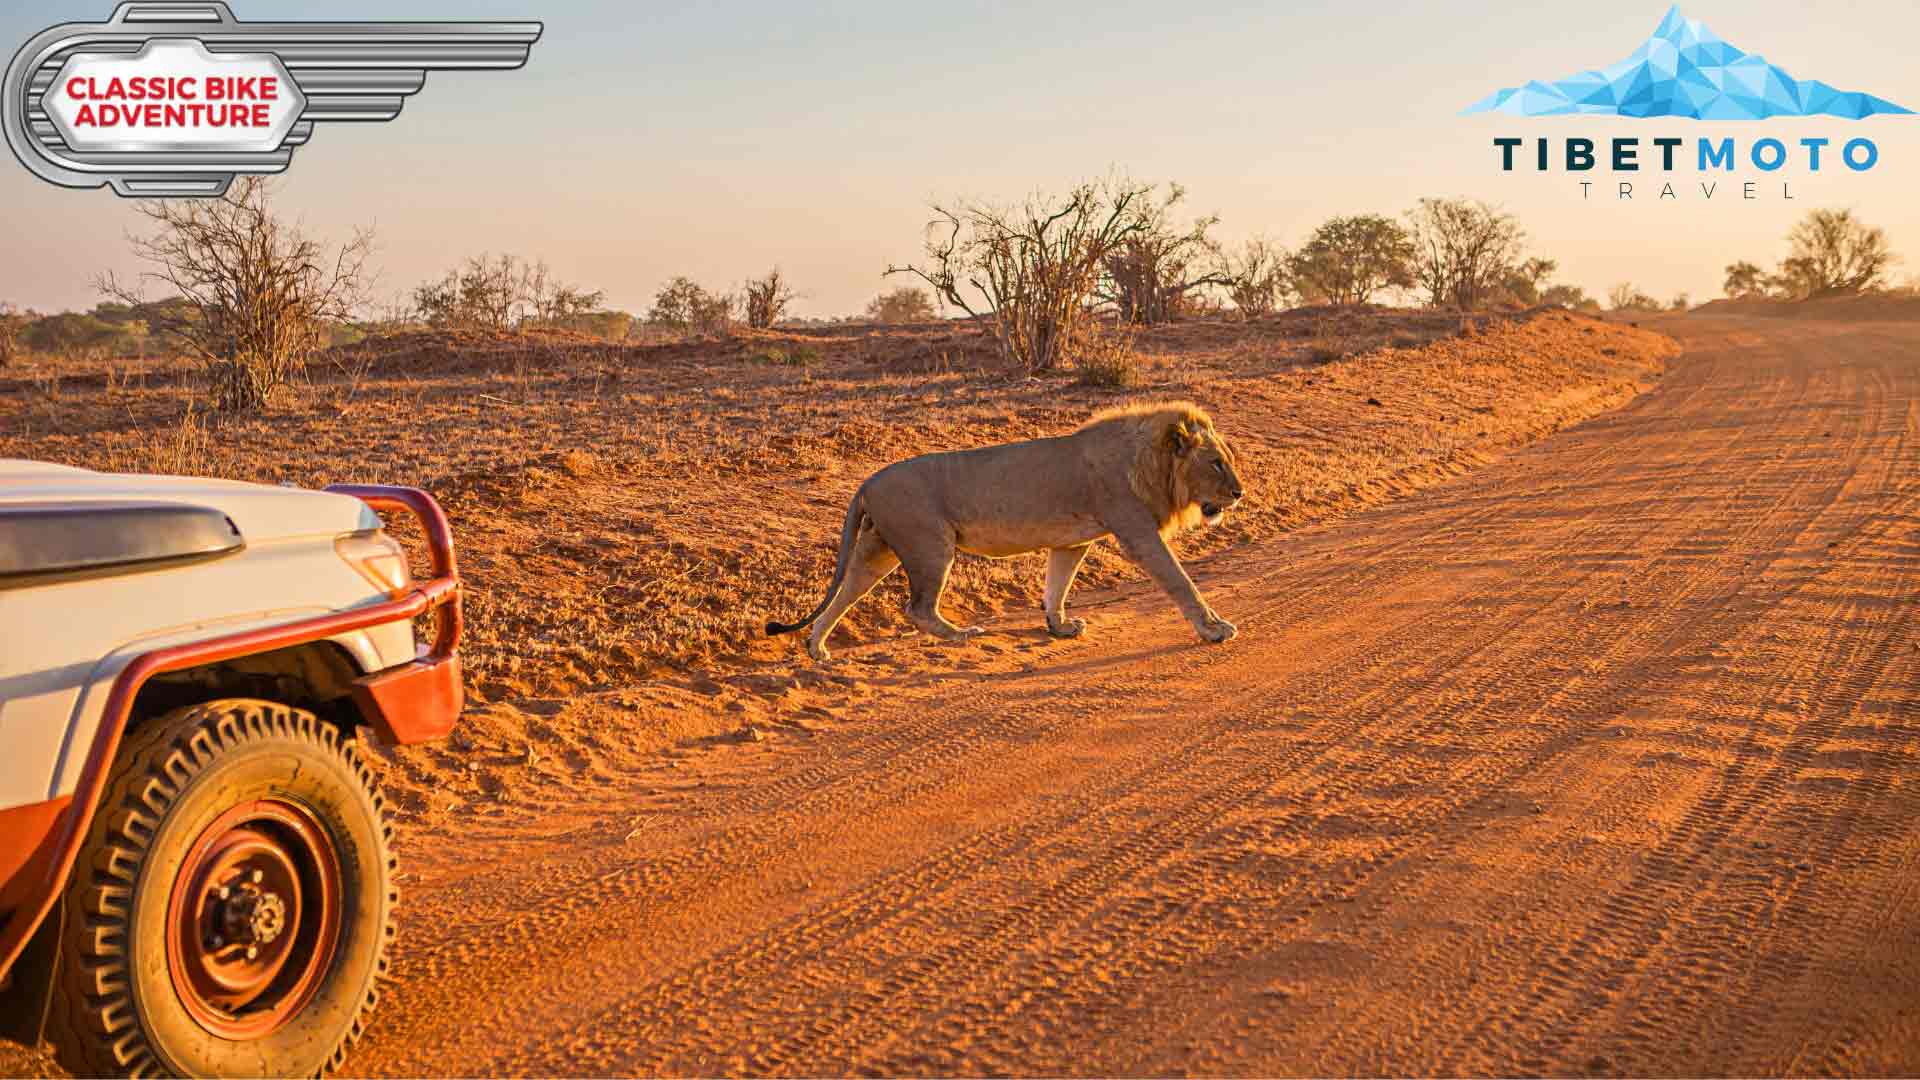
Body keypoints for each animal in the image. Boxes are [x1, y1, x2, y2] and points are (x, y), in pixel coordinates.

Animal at [766, 400, 1247, 661]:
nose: (1239, 493)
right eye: (1216, 463)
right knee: (917, 608)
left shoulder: (1072, 542)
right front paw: (1214, 629)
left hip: (878, 549)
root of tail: (867, 481)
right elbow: (1182, 582)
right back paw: (961, 634)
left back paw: (816, 647)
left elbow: (1057, 585)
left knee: (845, 592)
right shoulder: (1138, 533)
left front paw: (1059, 626)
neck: (1152, 463)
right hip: (930, 545)